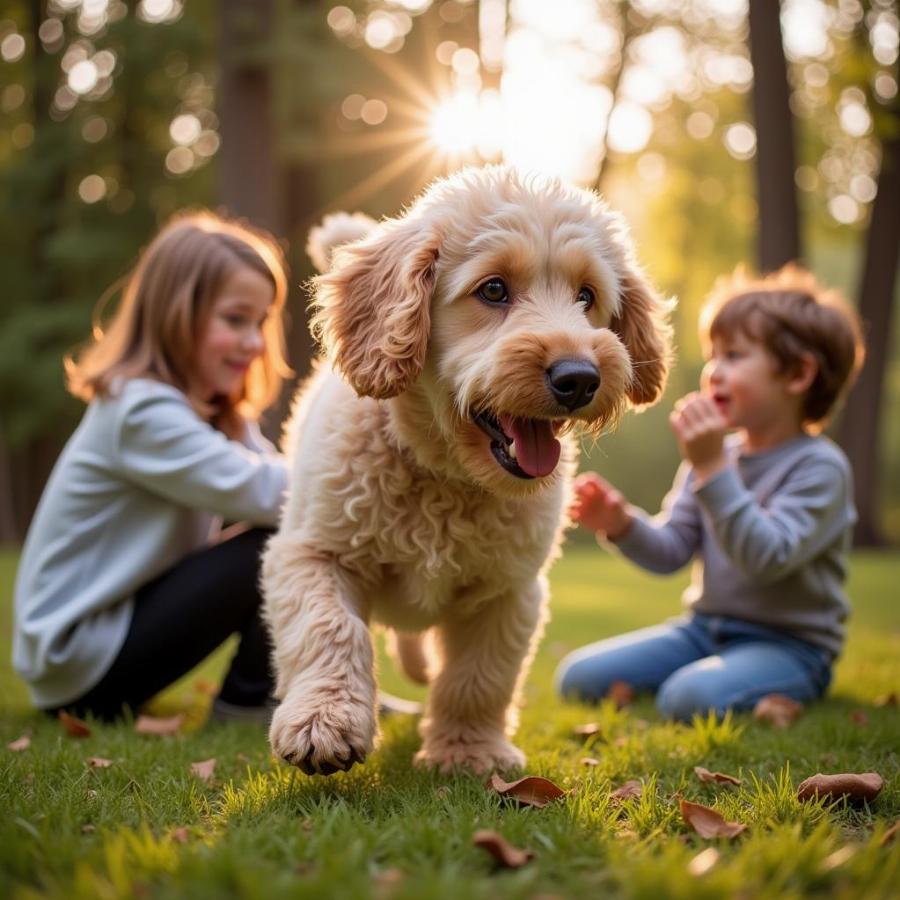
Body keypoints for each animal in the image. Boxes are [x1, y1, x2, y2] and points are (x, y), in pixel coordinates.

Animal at [260, 167, 668, 772]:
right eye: (493, 290)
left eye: (587, 296)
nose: (579, 378)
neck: (444, 475)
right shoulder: (313, 554)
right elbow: (329, 628)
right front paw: (324, 721)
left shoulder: (508, 590)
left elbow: (480, 675)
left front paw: (469, 751)